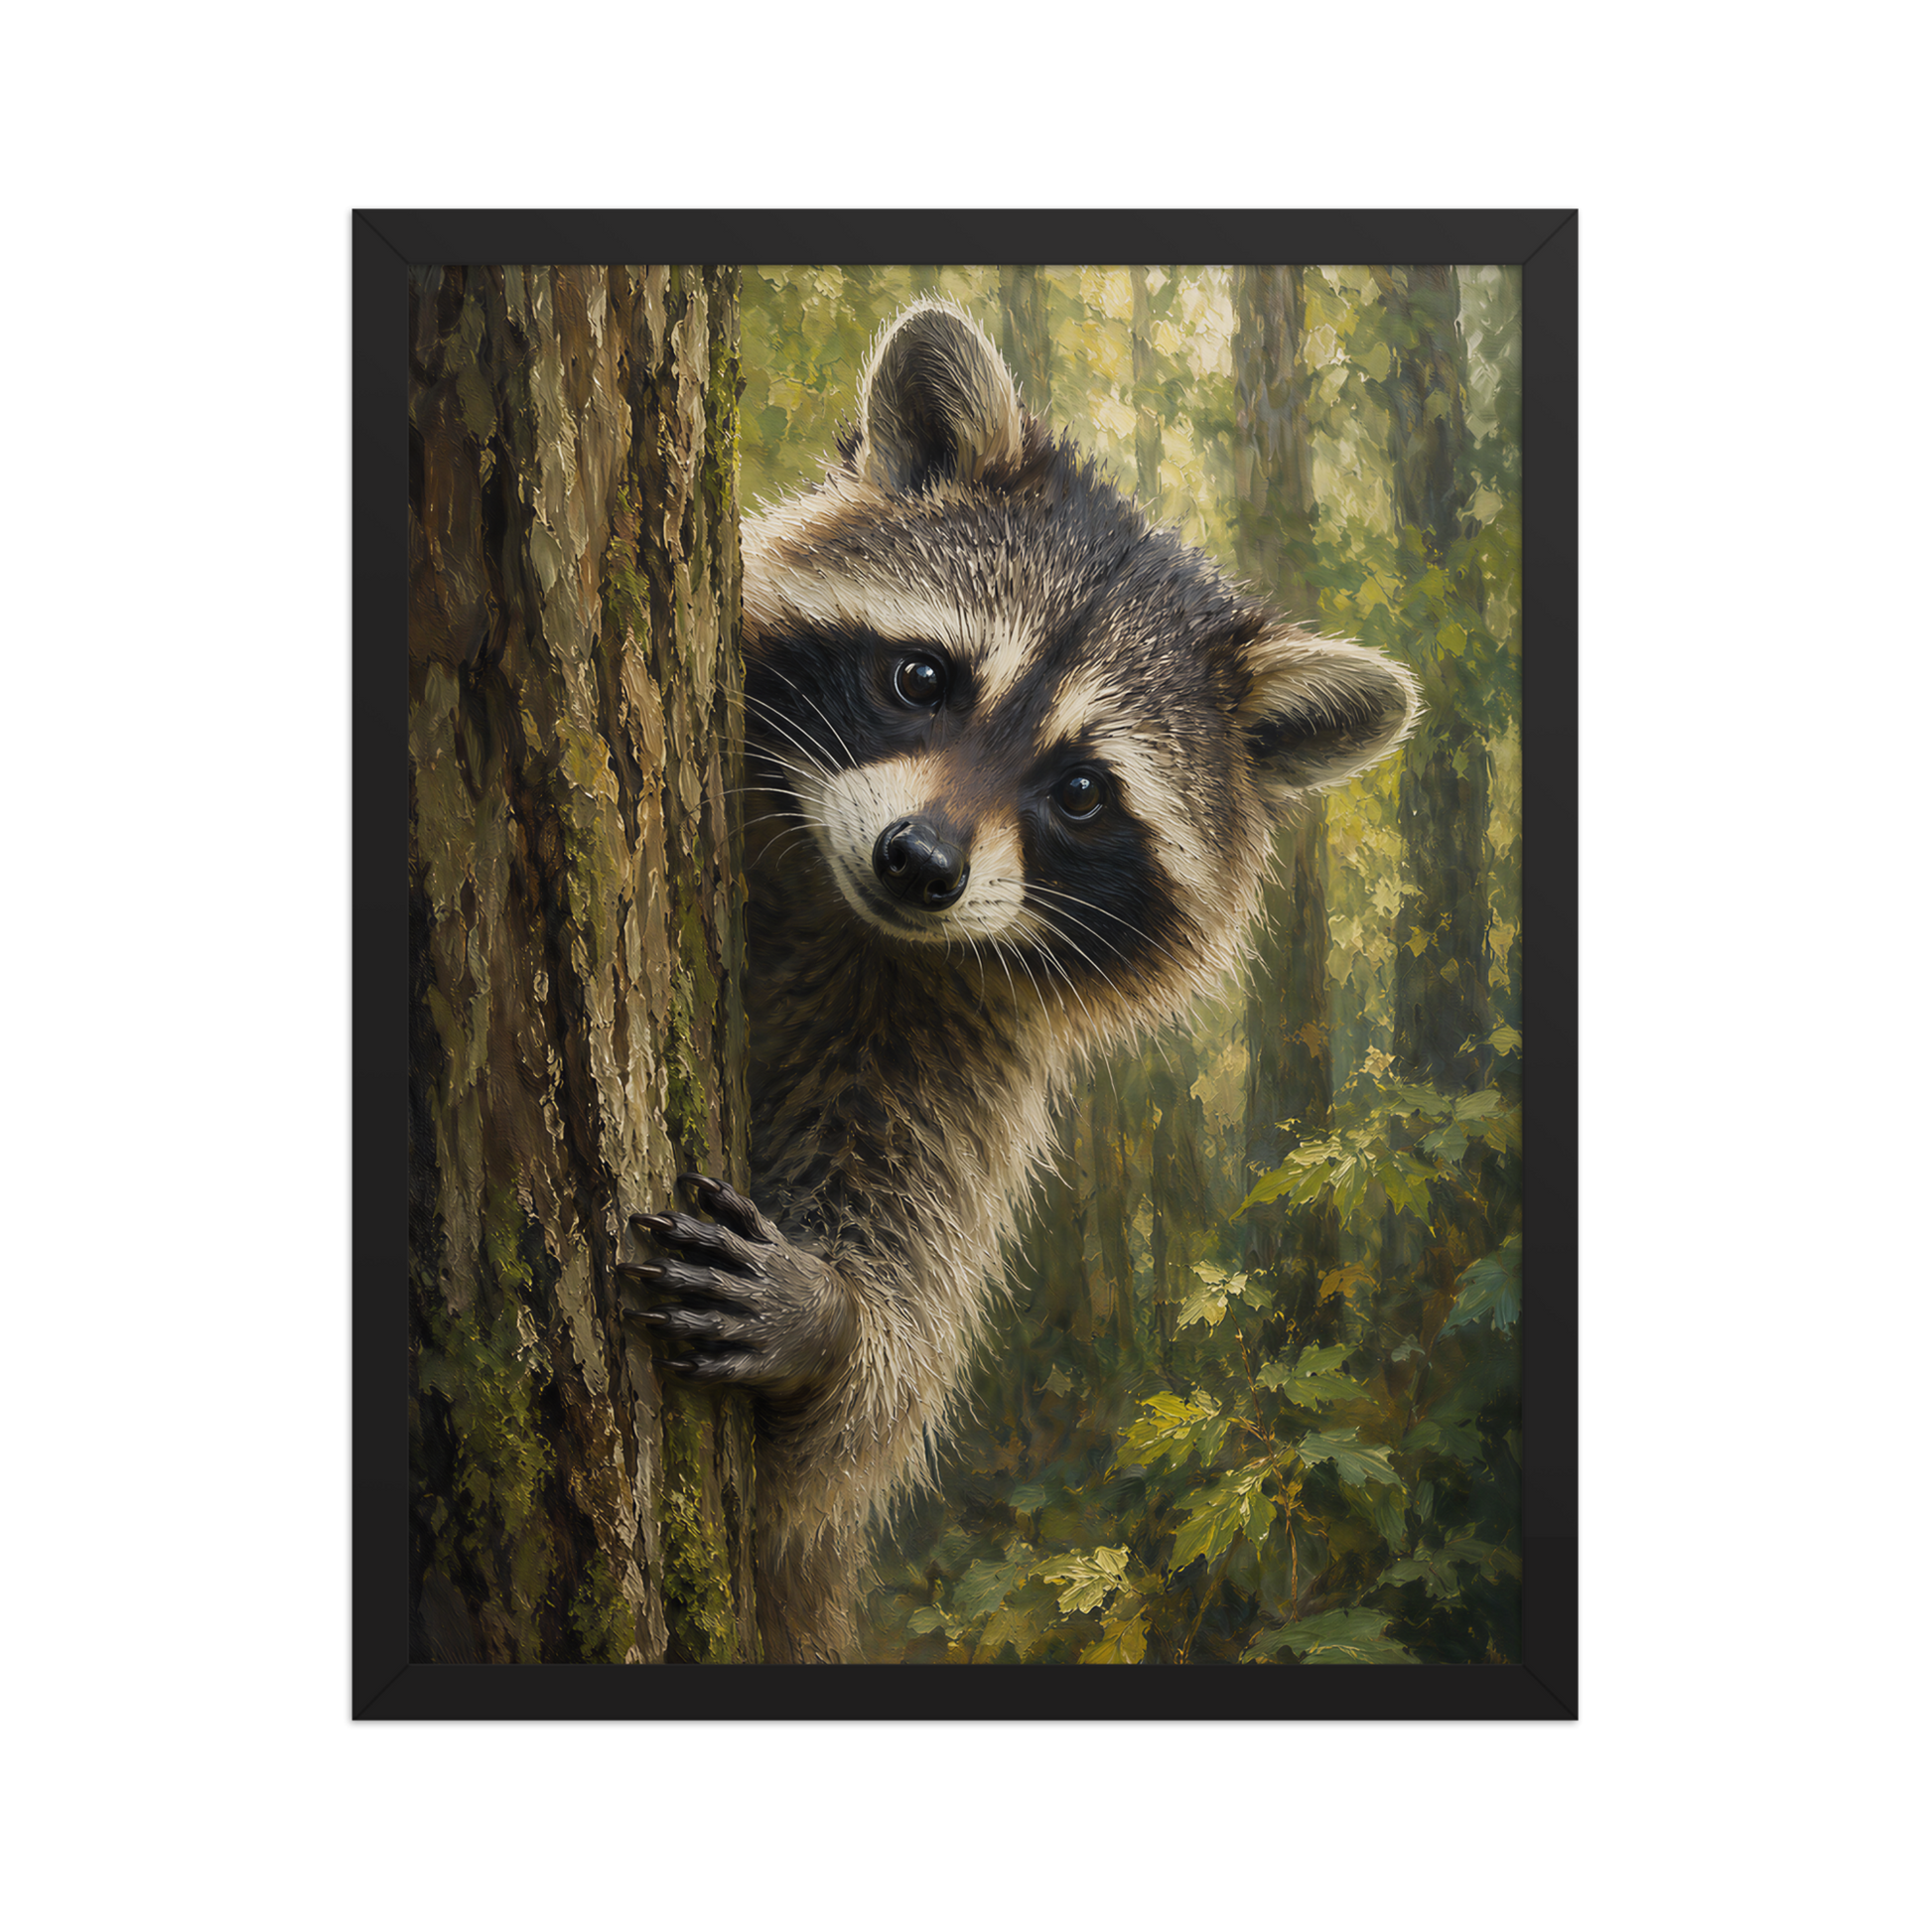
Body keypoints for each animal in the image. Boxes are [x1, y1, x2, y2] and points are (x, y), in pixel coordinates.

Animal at [620, 297, 1420, 1662]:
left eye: (1082, 791)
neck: (842, 913)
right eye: (922, 677)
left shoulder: (955, 1052)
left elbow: (865, 1405)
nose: (920, 863)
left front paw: (835, 1325)